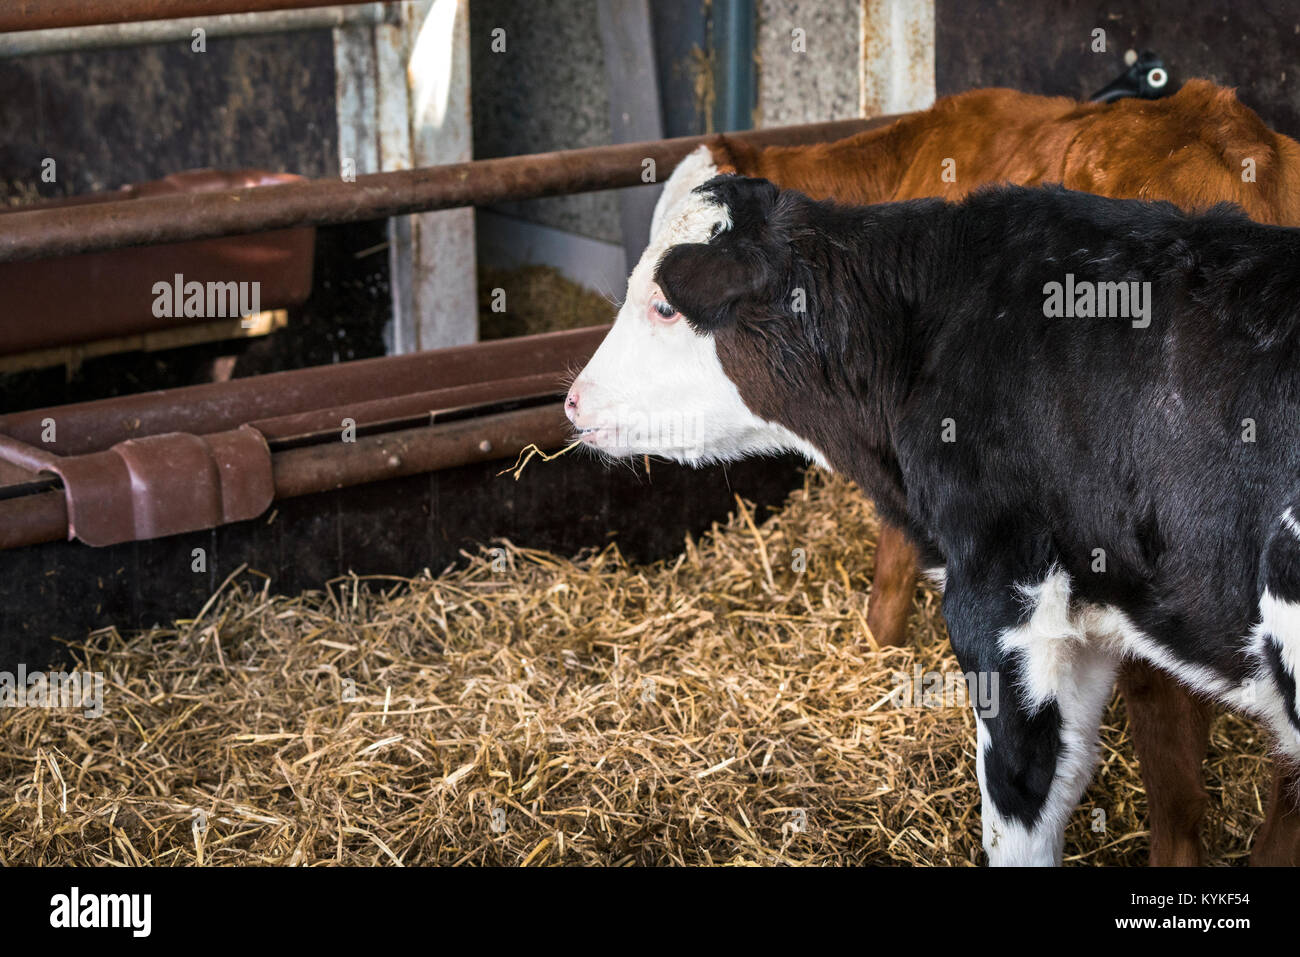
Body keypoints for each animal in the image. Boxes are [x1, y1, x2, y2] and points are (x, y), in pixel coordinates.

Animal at [569, 170, 1300, 868]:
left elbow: (1020, 799)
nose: (573, 400)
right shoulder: (1086, 613)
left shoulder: (999, 600)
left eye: (665, 306)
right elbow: (1067, 772)